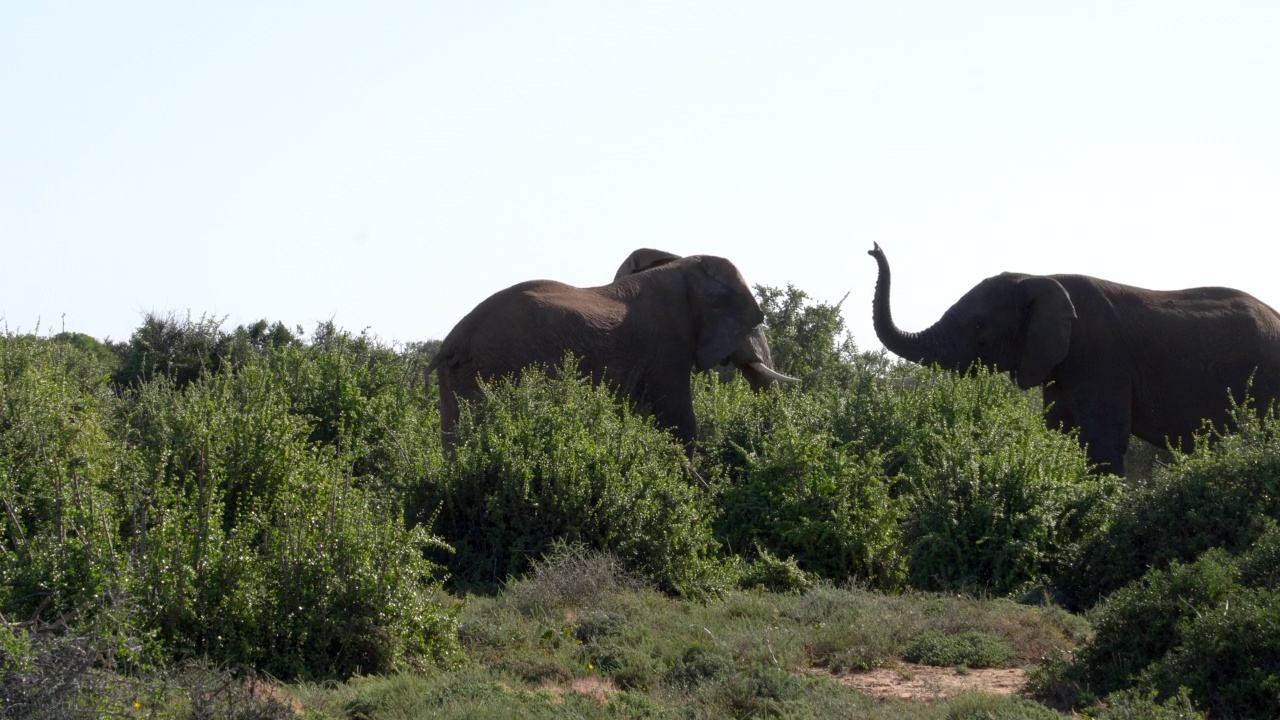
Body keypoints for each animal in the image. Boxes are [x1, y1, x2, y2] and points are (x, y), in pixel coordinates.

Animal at [870, 242, 1280, 476]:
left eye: (978, 326)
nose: (872, 248)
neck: (1039, 277)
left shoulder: (1099, 355)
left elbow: (1103, 437)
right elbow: (1059, 432)